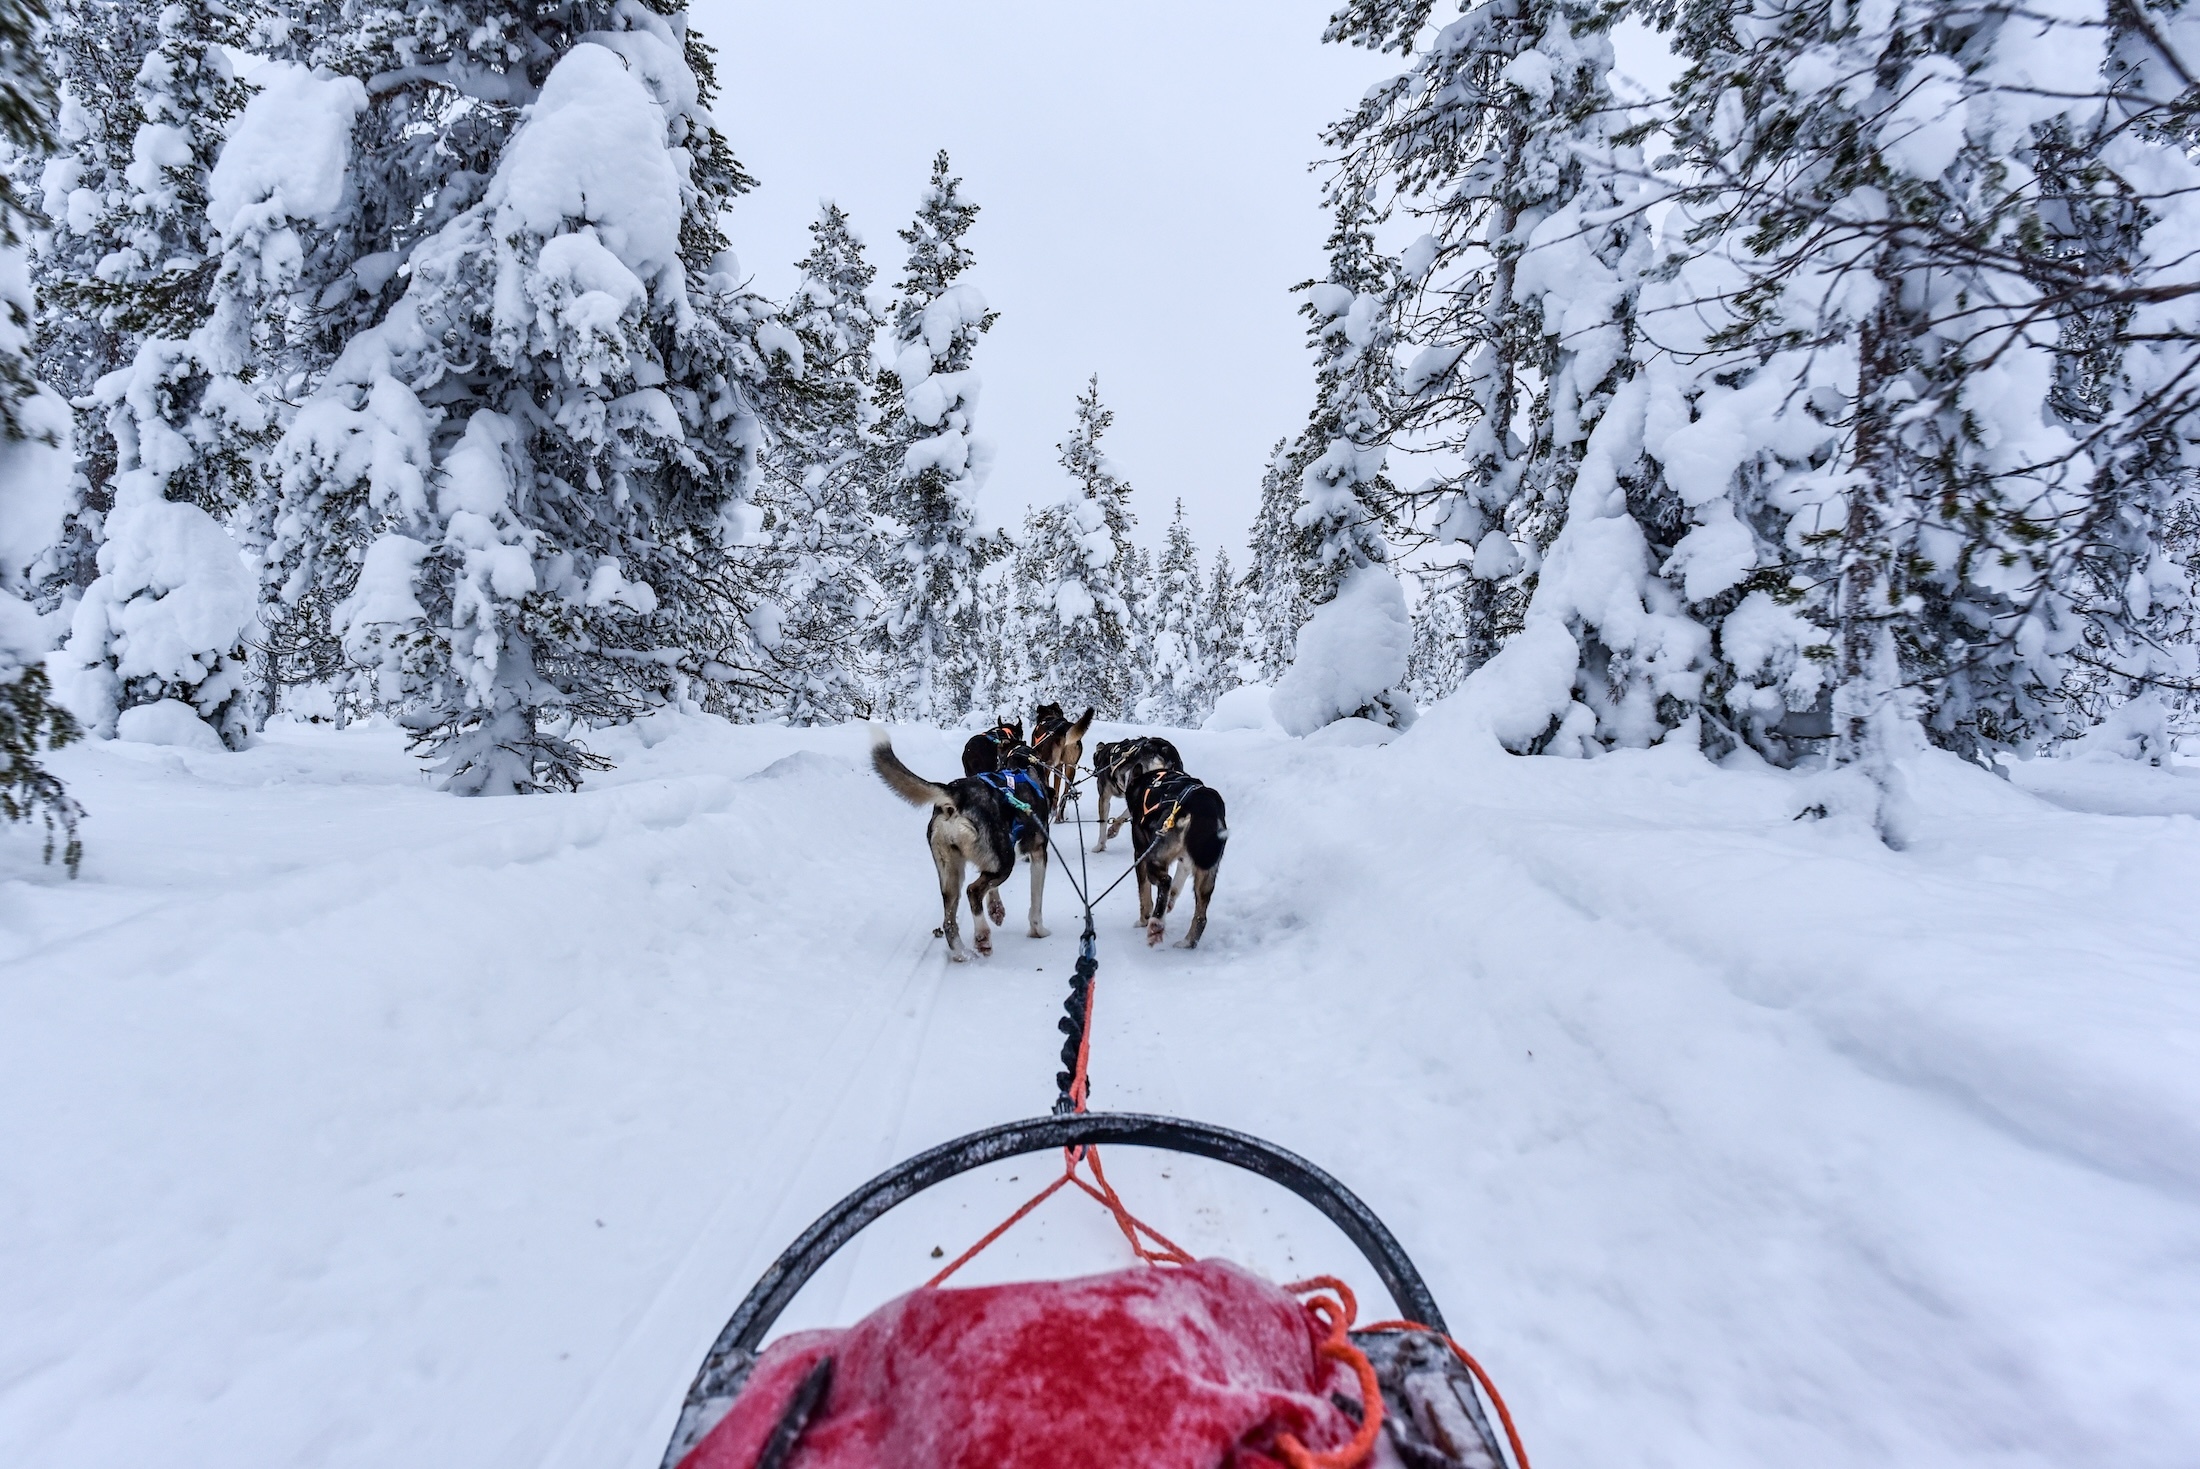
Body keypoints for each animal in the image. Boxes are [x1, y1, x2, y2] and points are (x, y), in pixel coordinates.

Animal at [871, 725, 1051, 958]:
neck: (1021, 765)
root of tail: (955, 794)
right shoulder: (1039, 853)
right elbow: (1036, 901)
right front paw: (1038, 930)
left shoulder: (992, 860)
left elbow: (993, 891)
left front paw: (996, 909)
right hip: (1004, 863)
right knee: (973, 891)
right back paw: (982, 937)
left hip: (952, 873)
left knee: (949, 919)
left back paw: (961, 953)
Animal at [1126, 765, 1232, 945]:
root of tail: (1201, 806)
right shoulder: (1186, 859)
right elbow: (1178, 883)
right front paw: (1171, 901)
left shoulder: (1140, 853)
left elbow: (1144, 892)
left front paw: (1143, 919)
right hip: (1207, 871)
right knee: (1201, 917)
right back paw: (1187, 942)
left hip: (1154, 857)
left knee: (1165, 881)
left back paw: (1156, 923)